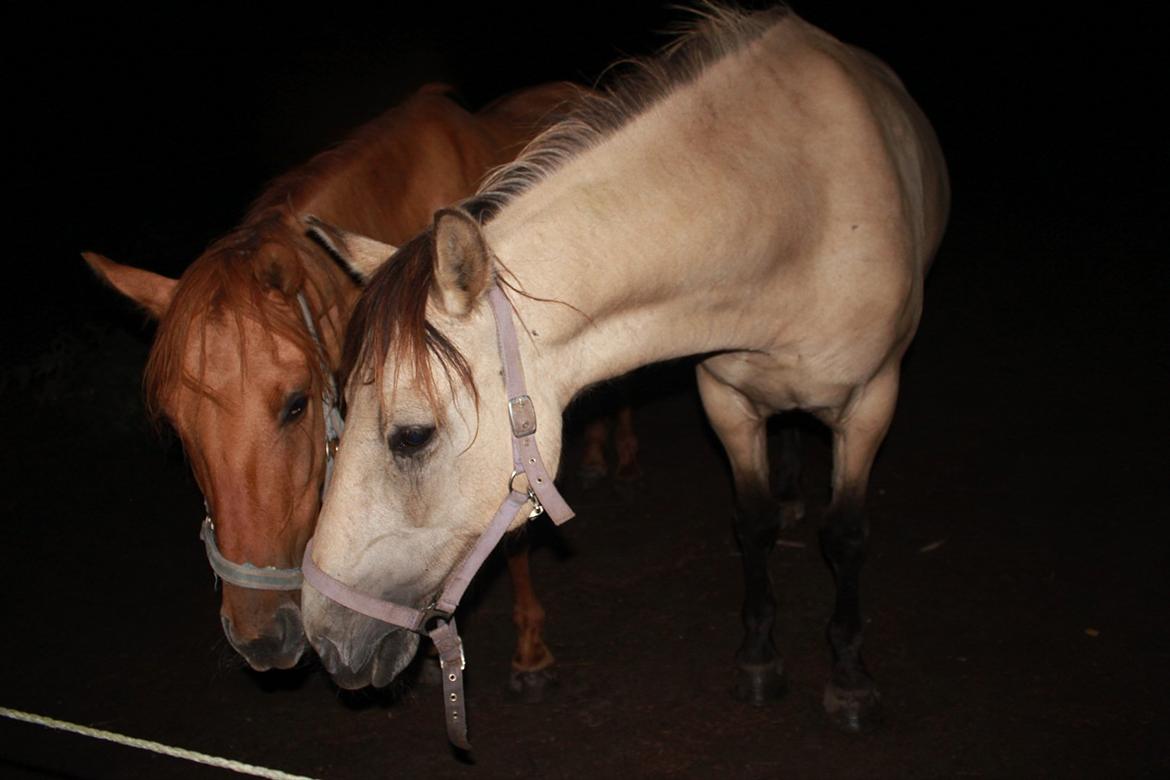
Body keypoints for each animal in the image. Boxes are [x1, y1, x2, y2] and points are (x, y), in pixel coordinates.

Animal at [304, 9, 950, 748]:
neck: (793, 209)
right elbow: (753, 523)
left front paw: (848, 678)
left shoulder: (871, 402)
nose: (321, 638)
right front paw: (760, 657)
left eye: (411, 437)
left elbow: (845, 538)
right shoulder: (727, 399)